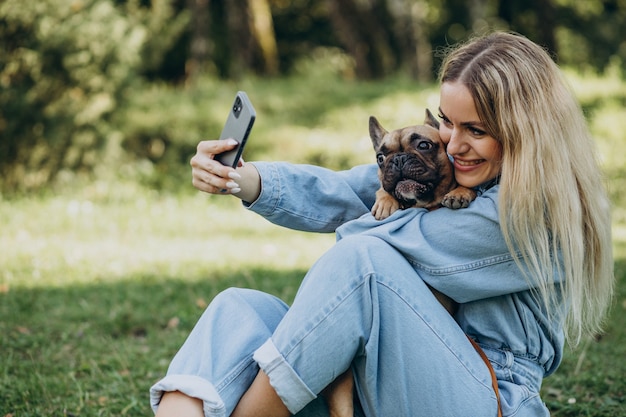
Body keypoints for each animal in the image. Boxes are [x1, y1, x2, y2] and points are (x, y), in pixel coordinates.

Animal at [322, 109, 472, 416]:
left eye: (424, 145)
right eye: (380, 157)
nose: (398, 160)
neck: (424, 205)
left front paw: (460, 192)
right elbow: (383, 191)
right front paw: (385, 201)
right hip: (342, 387)